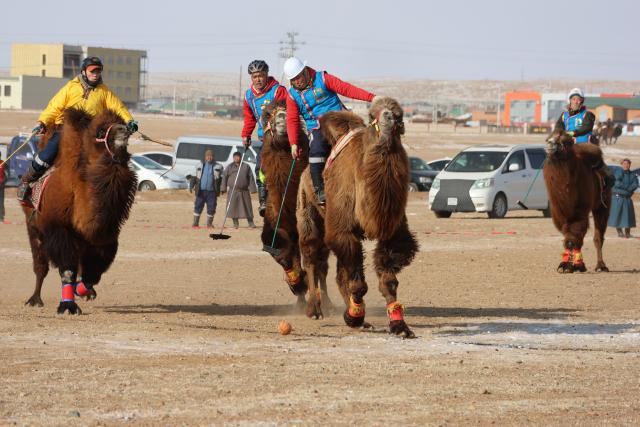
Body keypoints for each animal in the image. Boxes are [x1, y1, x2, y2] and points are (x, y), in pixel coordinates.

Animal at [23, 109, 137, 314]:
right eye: (101, 132)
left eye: (123, 123)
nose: (124, 130)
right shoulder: (58, 229)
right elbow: (68, 269)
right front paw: (67, 306)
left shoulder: (105, 237)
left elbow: (92, 274)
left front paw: (83, 291)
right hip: (33, 225)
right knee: (40, 265)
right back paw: (35, 300)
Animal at [259, 100, 320, 308]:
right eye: (267, 114)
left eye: (290, 110)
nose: (282, 117)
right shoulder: (277, 224)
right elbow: (278, 249)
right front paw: (296, 284)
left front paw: (301, 284)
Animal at [297, 97, 419, 337]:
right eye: (372, 115)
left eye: (399, 114)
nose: (389, 117)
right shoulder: (342, 228)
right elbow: (358, 283)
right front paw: (354, 316)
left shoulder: (391, 231)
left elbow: (389, 280)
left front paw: (399, 325)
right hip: (308, 209)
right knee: (311, 257)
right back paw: (315, 310)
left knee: (335, 271)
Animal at [543, 128, 611, 273]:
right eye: (548, 138)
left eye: (565, 142)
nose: (550, 144)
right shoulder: (560, 215)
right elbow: (569, 238)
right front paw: (567, 265)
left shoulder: (580, 211)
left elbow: (573, 238)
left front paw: (571, 265)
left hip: (603, 205)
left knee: (598, 237)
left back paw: (601, 266)